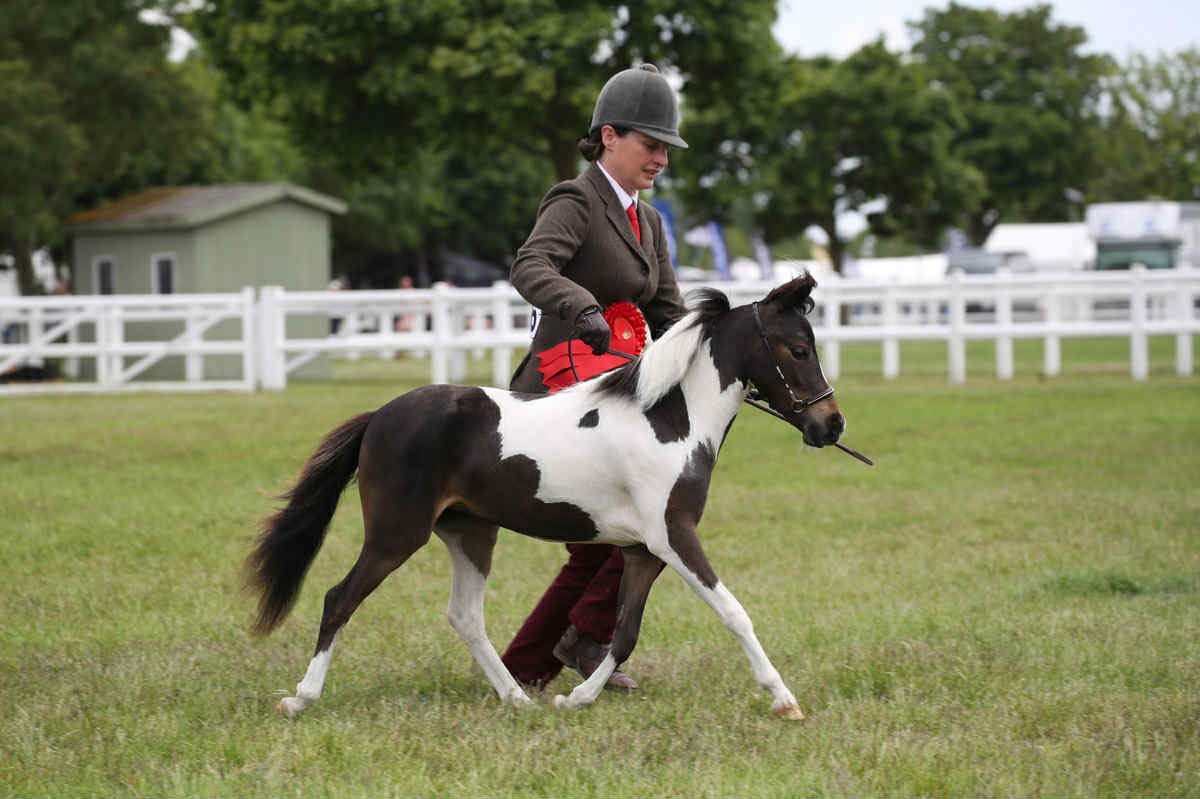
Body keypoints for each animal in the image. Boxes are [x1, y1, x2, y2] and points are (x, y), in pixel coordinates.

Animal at [247, 273, 845, 720]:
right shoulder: (675, 537)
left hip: (469, 532)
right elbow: (734, 613)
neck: (671, 422)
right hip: (397, 533)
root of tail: (380, 417)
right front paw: (784, 699)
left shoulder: (643, 552)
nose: (831, 425)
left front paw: (575, 698)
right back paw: (300, 699)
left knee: (465, 615)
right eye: (797, 348)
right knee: (339, 599)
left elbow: (625, 633)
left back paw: (516, 698)